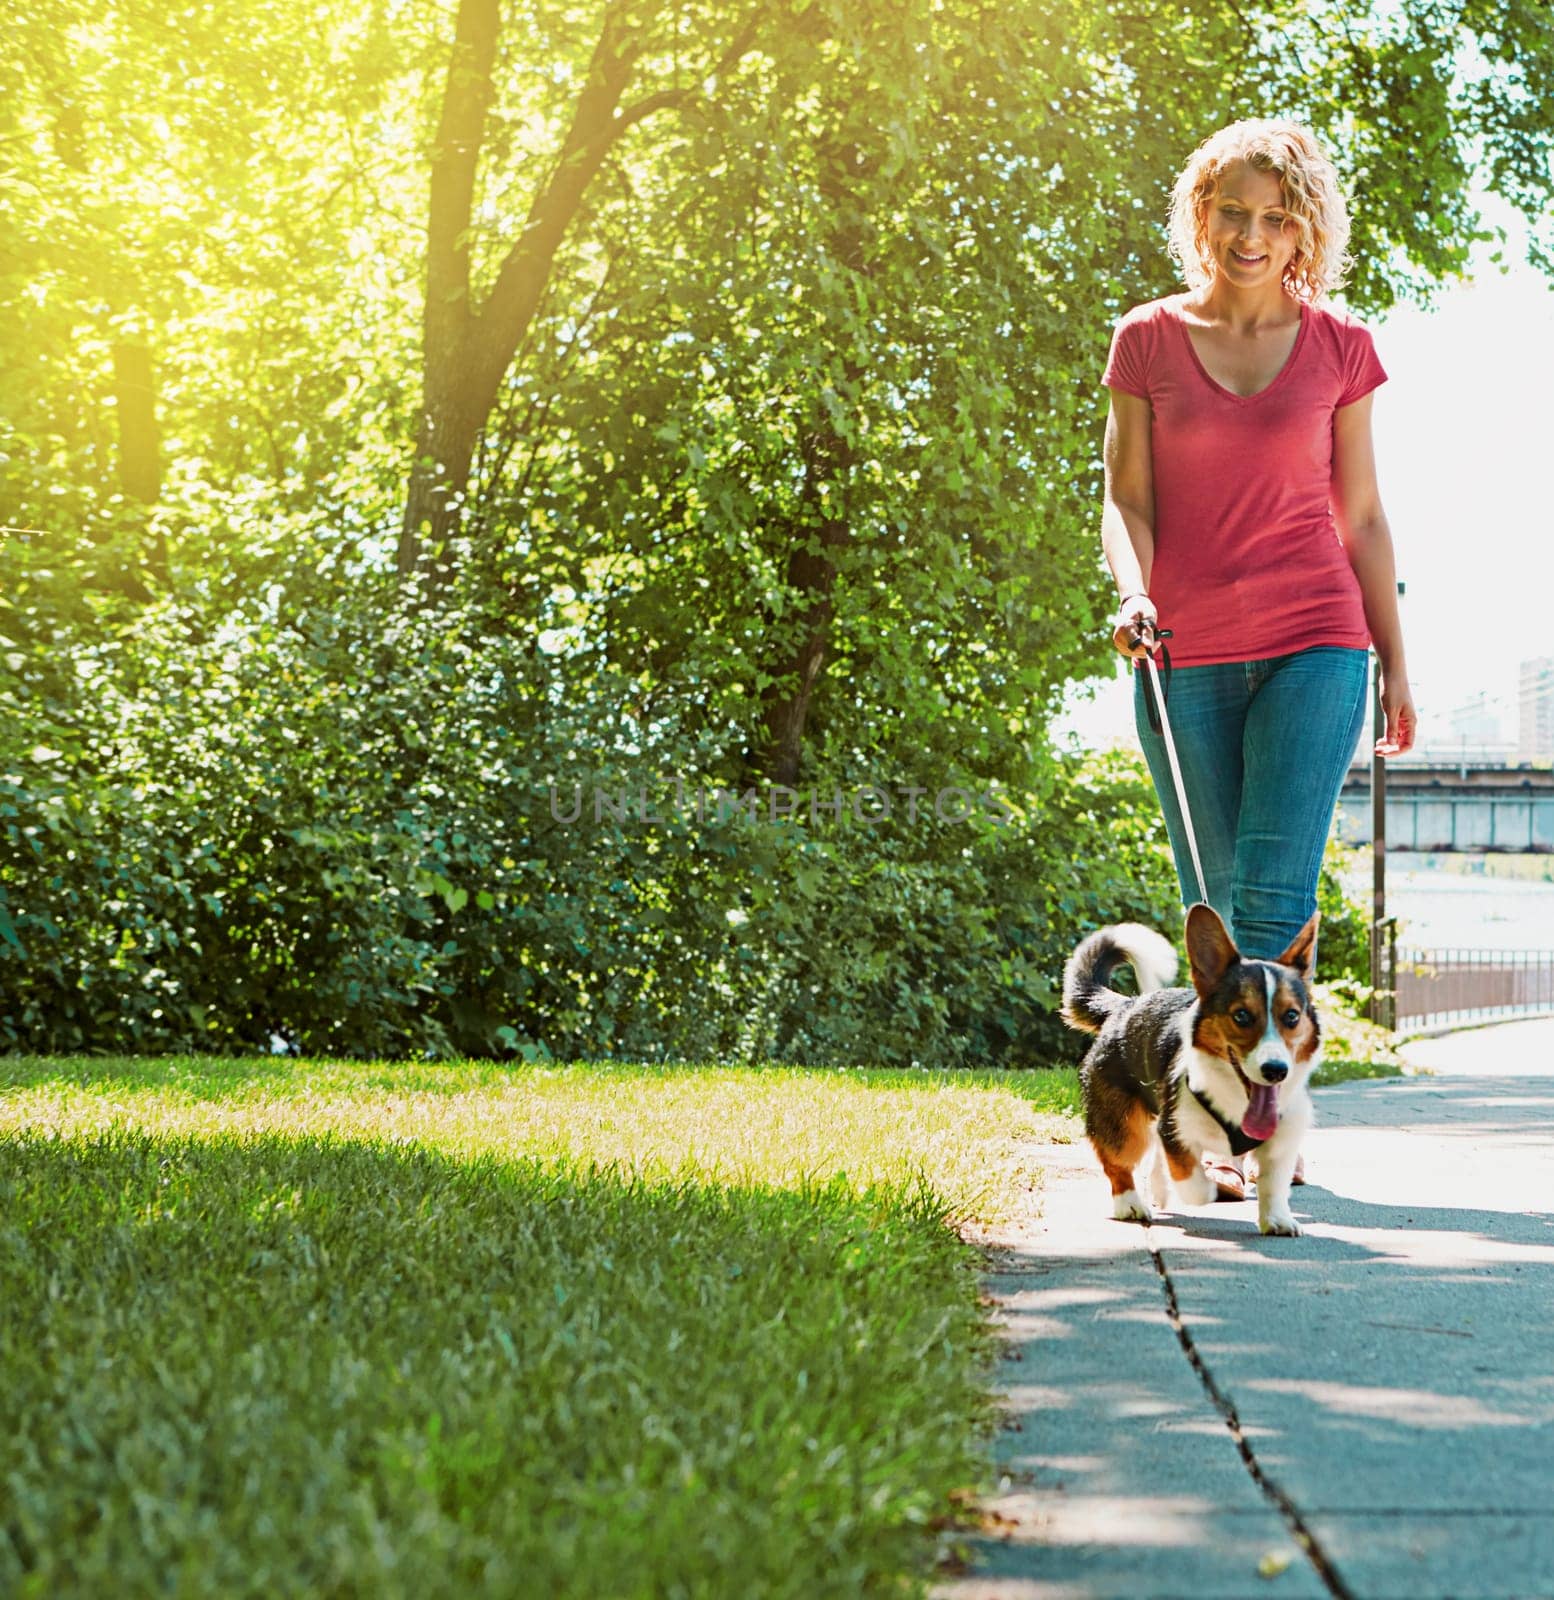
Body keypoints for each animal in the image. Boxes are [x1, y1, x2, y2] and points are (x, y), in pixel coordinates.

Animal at [1069, 902, 1325, 1235]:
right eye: (1241, 1016)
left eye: (1292, 1016)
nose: (1276, 1070)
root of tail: (1124, 1005)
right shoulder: (1175, 1128)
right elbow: (1193, 1182)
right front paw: (1208, 1189)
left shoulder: (1282, 1142)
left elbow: (1274, 1184)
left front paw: (1277, 1219)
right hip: (1123, 1123)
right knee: (1119, 1162)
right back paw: (1130, 1204)